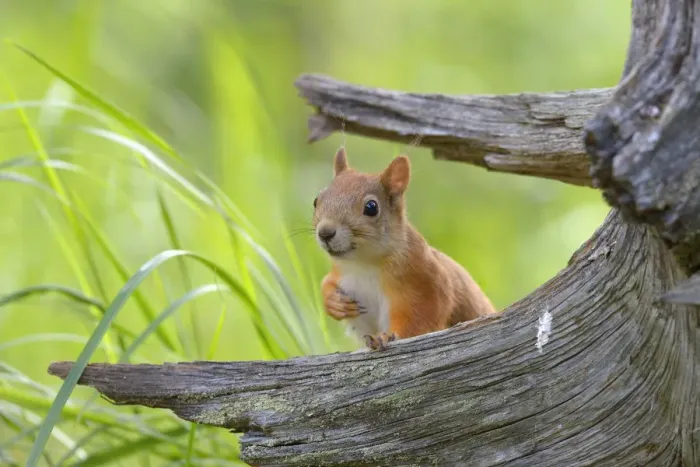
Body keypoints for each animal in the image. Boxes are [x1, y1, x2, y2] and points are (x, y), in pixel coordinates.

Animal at [312, 147, 497, 351]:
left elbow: (418, 322)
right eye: (316, 200)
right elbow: (327, 283)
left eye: (371, 207)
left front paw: (384, 337)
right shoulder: (340, 274)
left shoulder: (425, 284)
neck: (363, 263)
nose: (325, 232)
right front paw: (334, 302)